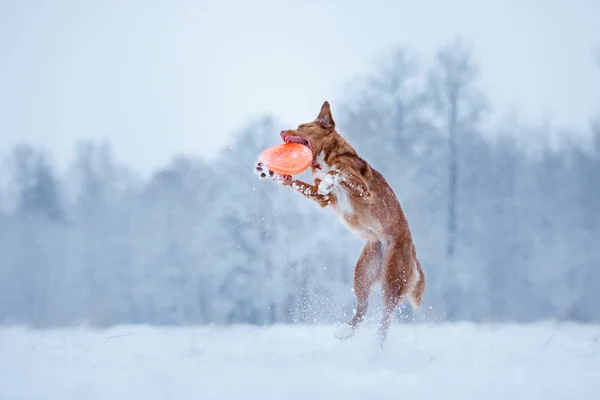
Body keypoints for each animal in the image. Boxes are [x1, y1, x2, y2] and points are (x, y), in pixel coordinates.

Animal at [255, 101, 424, 346]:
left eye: (302, 127)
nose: (281, 131)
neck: (326, 157)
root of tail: (412, 249)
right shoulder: (322, 198)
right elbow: (299, 183)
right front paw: (271, 173)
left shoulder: (365, 191)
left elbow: (341, 173)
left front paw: (330, 177)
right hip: (363, 273)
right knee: (363, 307)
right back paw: (347, 332)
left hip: (392, 277)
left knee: (386, 315)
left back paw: (378, 345)